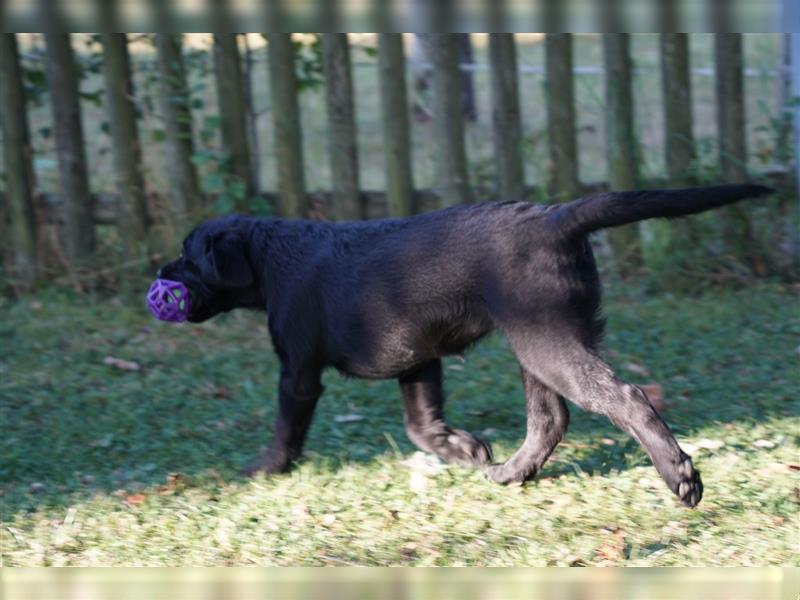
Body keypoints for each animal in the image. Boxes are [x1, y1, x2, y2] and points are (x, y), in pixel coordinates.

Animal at [156, 183, 768, 506]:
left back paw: (680, 477)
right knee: (551, 419)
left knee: (626, 399)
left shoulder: (299, 370)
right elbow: (419, 423)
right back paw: (511, 472)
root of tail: (556, 218)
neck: (271, 256)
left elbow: (288, 426)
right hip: (540, 342)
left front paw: (266, 468)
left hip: (544, 342)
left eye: (189, 254)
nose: (160, 274)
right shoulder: (416, 358)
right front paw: (464, 449)